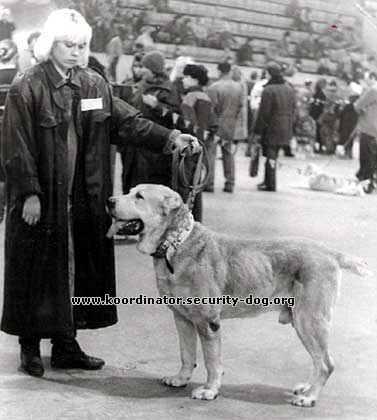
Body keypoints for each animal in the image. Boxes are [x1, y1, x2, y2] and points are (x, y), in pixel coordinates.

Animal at [106, 184, 370, 406]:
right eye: (129, 191)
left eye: (139, 196)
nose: (109, 201)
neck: (175, 244)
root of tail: (331, 253)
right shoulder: (182, 319)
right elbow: (186, 354)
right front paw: (180, 379)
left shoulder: (207, 322)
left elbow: (212, 361)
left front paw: (209, 390)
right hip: (303, 322)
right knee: (318, 360)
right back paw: (306, 388)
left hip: (309, 320)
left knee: (326, 363)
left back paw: (309, 397)